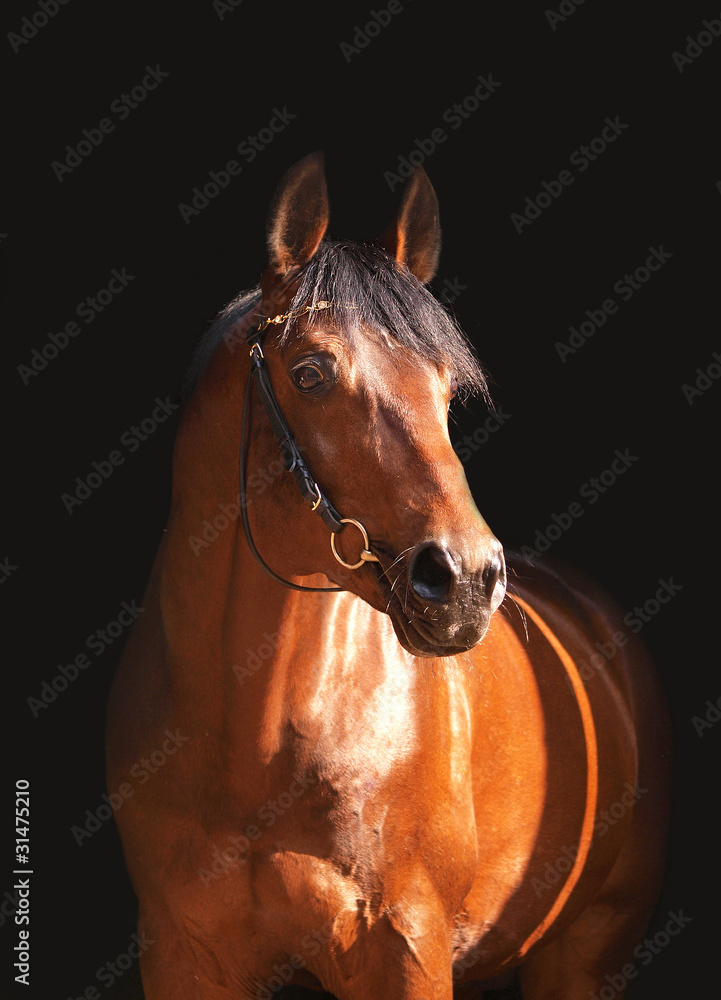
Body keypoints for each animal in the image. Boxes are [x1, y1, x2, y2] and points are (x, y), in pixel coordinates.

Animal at [106, 151, 671, 1000]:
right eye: (309, 373)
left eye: (444, 387)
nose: (465, 580)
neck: (257, 743)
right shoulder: (182, 954)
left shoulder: (404, 947)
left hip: (585, 952)